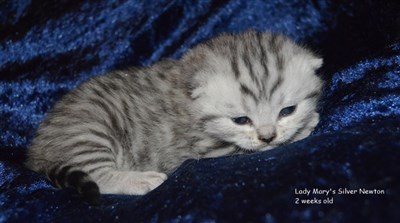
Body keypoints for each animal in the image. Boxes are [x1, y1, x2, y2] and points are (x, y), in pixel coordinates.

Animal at [25, 30, 324, 205]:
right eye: (241, 120)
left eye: (287, 111)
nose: (267, 136)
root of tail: (37, 151)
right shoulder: (206, 148)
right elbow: (247, 149)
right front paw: (306, 126)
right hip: (90, 133)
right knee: (98, 175)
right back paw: (141, 180)